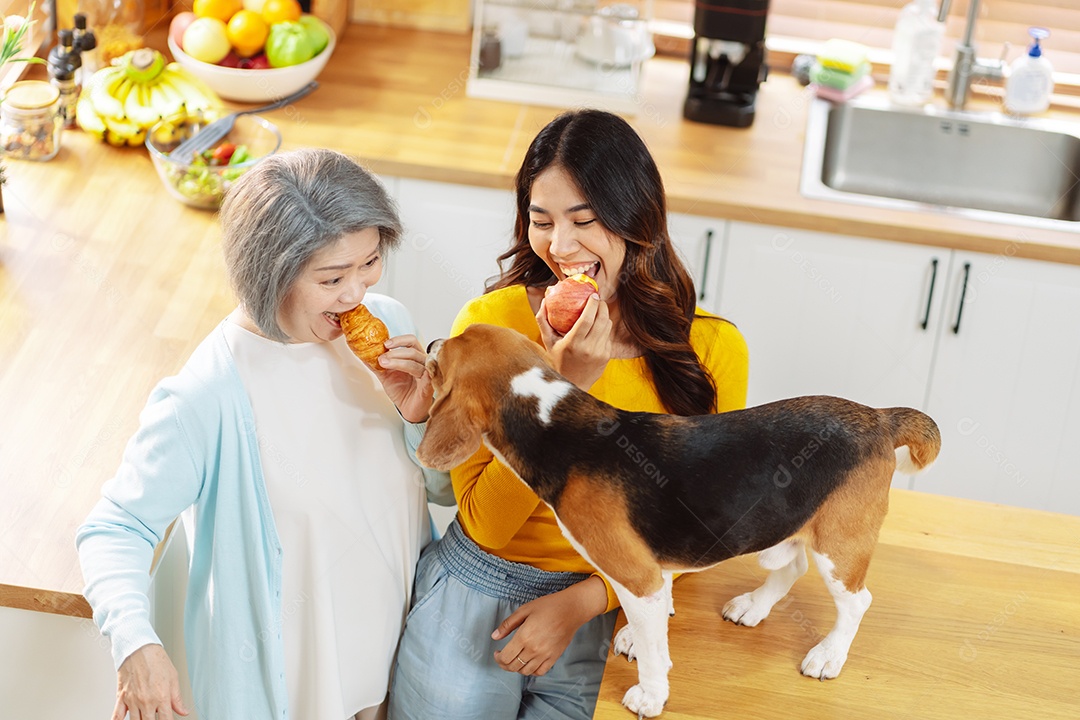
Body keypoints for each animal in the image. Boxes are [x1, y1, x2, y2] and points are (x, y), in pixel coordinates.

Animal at [416, 325, 941, 720]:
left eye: (441, 361)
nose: (429, 344)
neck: (556, 423)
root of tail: (879, 417)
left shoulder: (635, 574)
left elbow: (653, 645)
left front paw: (650, 695)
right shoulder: (654, 567)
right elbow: (658, 606)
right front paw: (636, 635)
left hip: (840, 543)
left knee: (856, 602)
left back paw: (828, 655)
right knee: (792, 568)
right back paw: (753, 606)